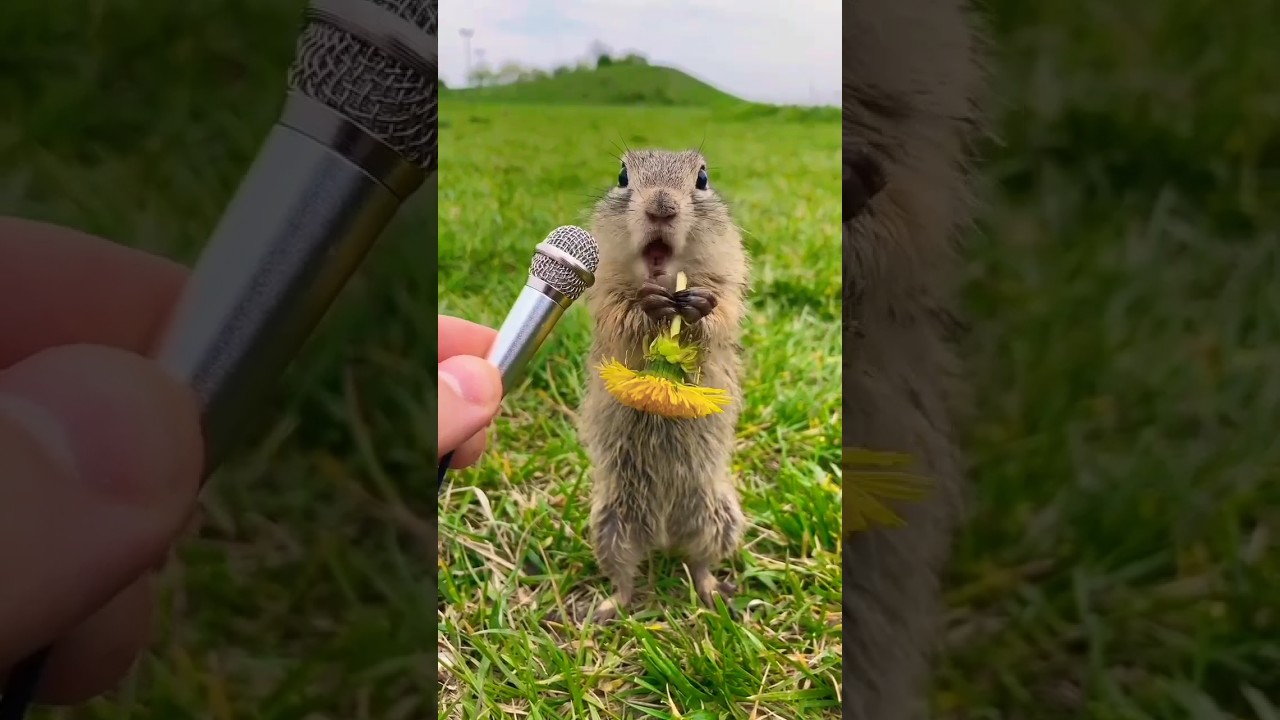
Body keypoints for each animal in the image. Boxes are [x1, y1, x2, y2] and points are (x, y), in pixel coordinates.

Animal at [578, 148, 750, 623]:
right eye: (622, 176)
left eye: (702, 179)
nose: (661, 206)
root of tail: (663, 533)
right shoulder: (605, 287)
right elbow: (620, 313)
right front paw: (648, 305)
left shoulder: (729, 277)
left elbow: (723, 312)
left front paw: (700, 307)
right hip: (610, 523)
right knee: (624, 578)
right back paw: (606, 607)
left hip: (719, 518)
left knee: (701, 562)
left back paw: (714, 593)